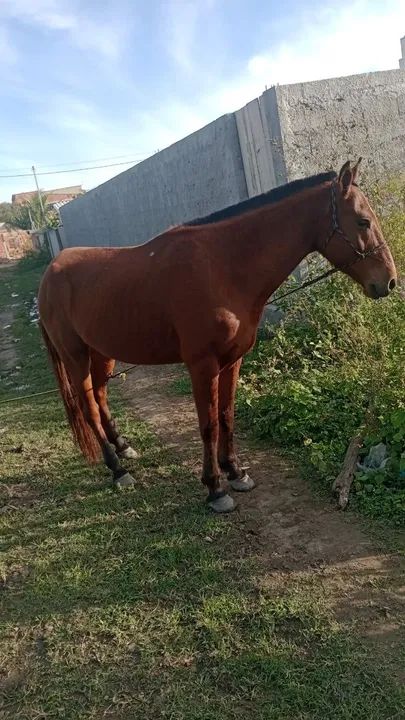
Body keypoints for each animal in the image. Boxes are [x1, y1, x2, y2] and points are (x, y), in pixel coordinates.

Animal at [38, 160, 397, 512]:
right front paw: (215, 488)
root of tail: (50, 273)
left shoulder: (232, 361)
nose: (389, 281)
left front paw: (235, 472)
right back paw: (118, 469)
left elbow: (226, 416)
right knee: (89, 408)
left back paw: (123, 447)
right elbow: (208, 424)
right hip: (75, 356)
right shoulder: (203, 365)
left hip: (102, 353)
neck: (223, 267)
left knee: (100, 397)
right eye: (363, 221)